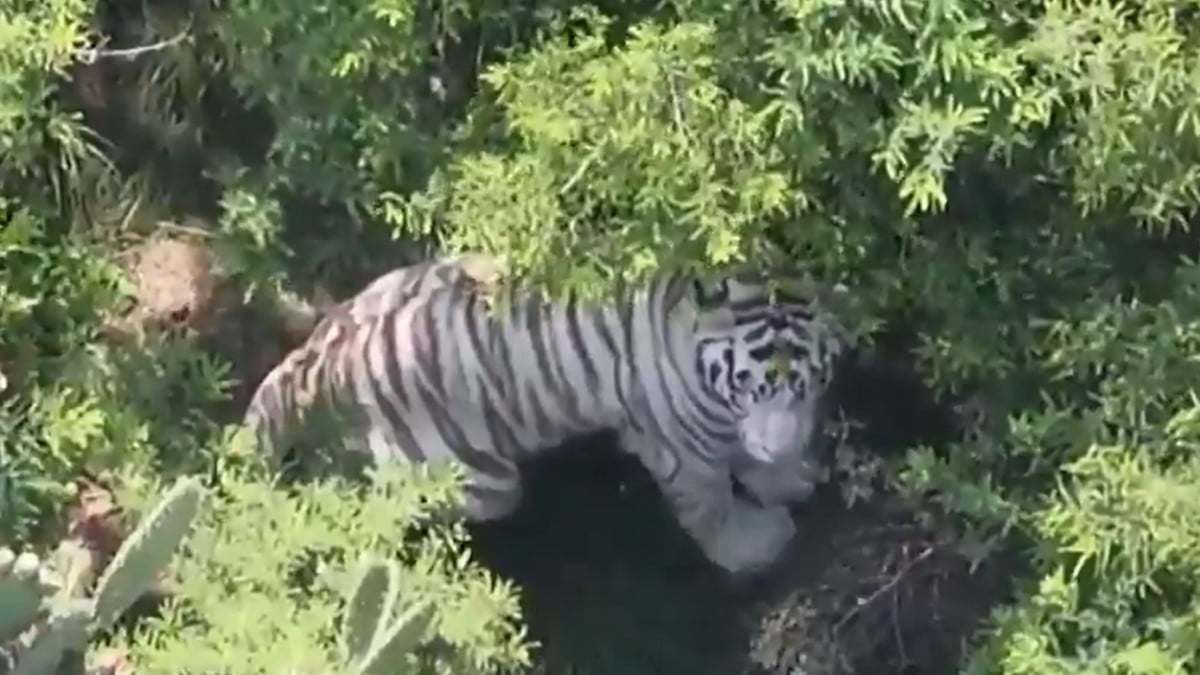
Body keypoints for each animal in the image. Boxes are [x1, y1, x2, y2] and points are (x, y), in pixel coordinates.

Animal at [243, 254, 846, 576]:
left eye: (811, 381)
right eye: (748, 385)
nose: (782, 444)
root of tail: (321, 361)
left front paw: (788, 474)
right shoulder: (683, 447)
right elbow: (712, 506)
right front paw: (756, 544)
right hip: (481, 482)